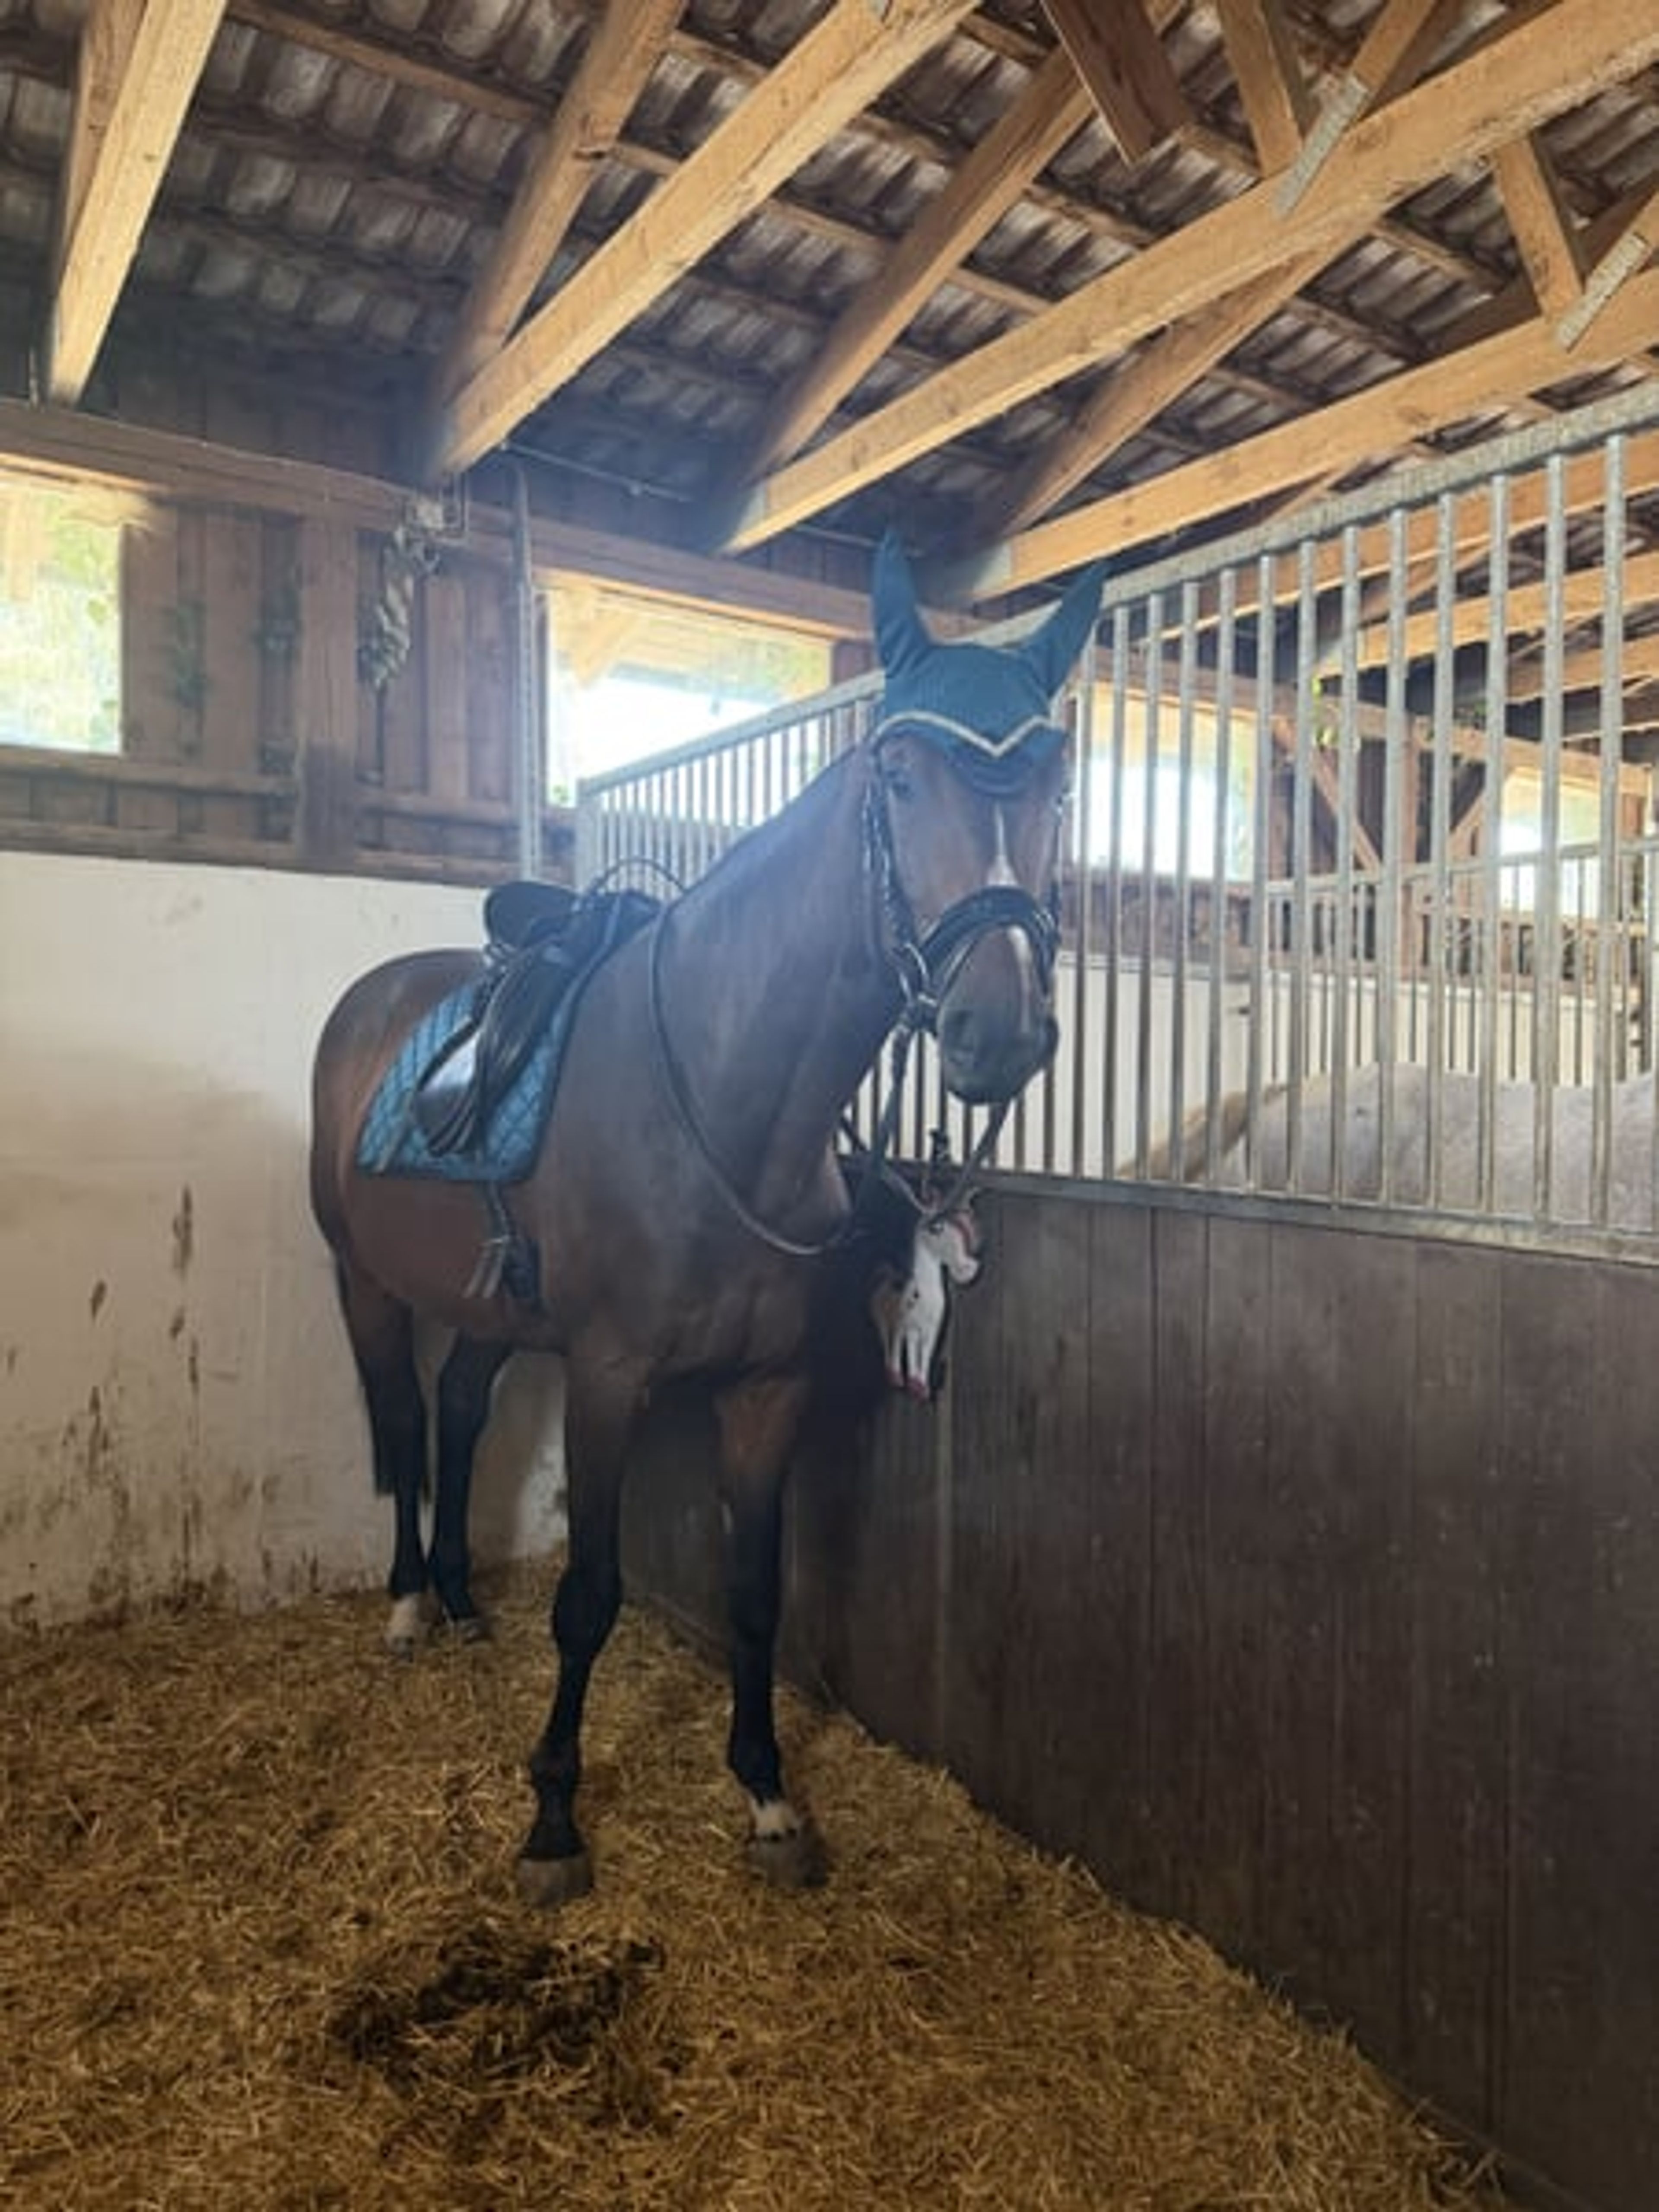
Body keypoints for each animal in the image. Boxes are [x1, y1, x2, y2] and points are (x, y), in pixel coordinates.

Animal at [309, 535, 1105, 1906]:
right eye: (899, 775)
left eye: (1058, 780)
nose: (996, 1034)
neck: (728, 1105)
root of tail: (369, 1003)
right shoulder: (610, 1377)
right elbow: (590, 1594)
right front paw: (554, 1819)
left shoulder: (767, 1387)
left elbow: (754, 1591)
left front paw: (770, 1797)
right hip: (364, 1280)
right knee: (404, 1420)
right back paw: (410, 1605)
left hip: (488, 1307)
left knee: (457, 1411)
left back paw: (461, 1601)